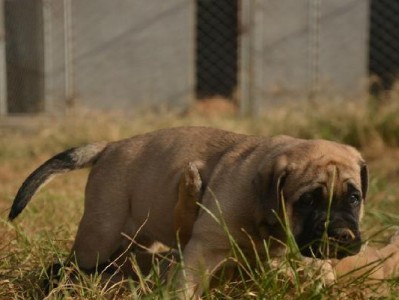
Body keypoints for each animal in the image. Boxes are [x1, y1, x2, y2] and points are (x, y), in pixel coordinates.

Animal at [7, 126, 368, 298]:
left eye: (354, 198)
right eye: (307, 201)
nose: (342, 235)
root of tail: (110, 146)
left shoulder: (297, 251)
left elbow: (317, 268)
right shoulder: (204, 251)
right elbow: (186, 284)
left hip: (135, 239)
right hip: (99, 234)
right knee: (70, 267)